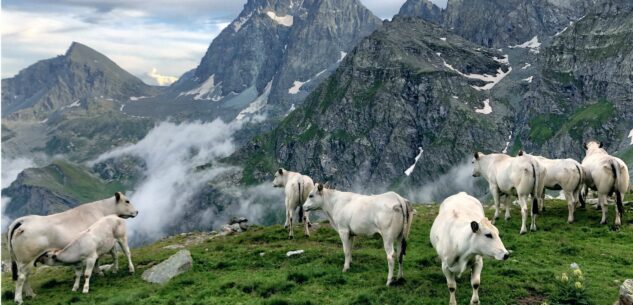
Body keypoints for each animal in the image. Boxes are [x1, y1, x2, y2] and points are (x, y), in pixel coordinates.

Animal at [5, 191, 137, 302]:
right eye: (127, 201)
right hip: (27, 260)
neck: (102, 210)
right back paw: (19, 299)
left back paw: (30, 294)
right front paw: (99, 273)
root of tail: (23, 221)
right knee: (21, 277)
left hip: (24, 261)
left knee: (25, 277)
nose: (137, 212)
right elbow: (98, 260)